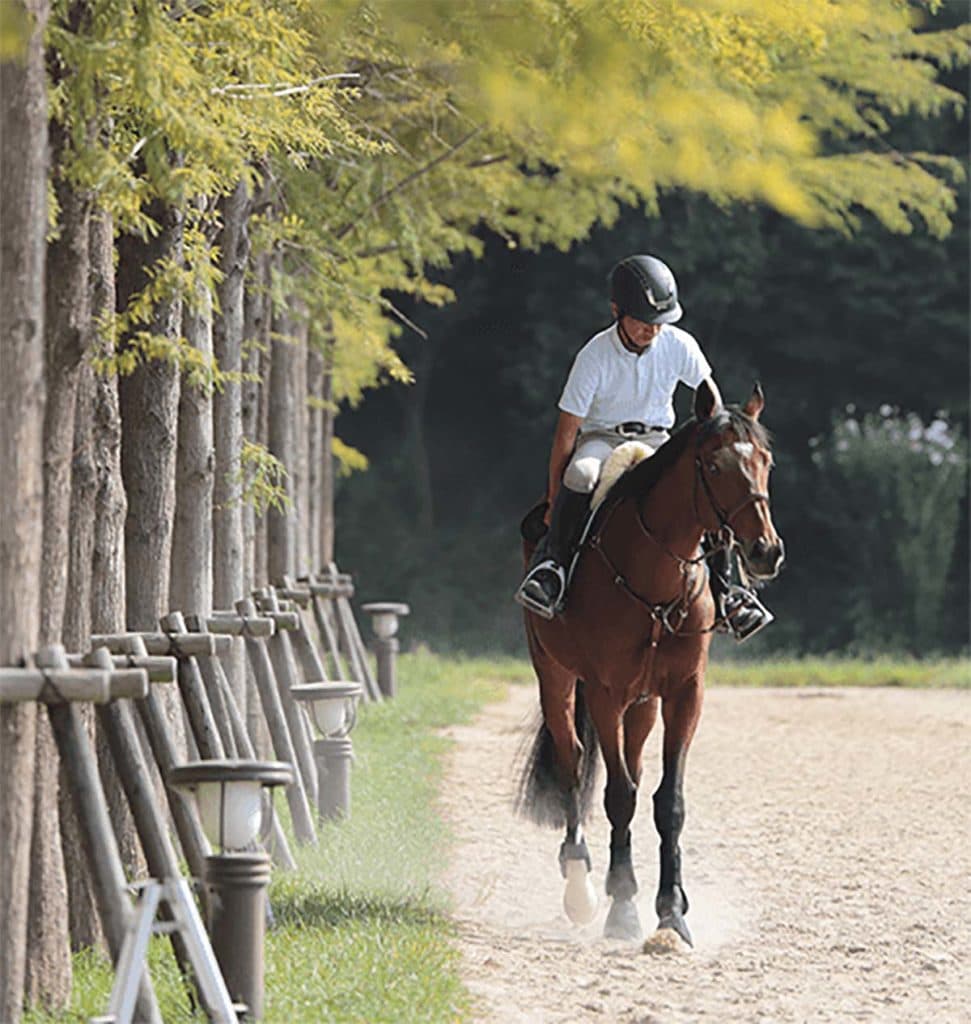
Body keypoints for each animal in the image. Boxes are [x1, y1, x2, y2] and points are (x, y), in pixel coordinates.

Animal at [517, 380, 784, 946]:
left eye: (765, 461)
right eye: (714, 465)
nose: (765, 552)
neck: (658, 575)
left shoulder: (685, 693)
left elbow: (667, 802)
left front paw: (671, 910)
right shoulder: (604, 692)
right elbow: (619, 796)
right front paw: (623, 908)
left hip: (641, 704)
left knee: (633, 767)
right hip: (556, 678)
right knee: (573, 765)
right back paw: (580, 886)